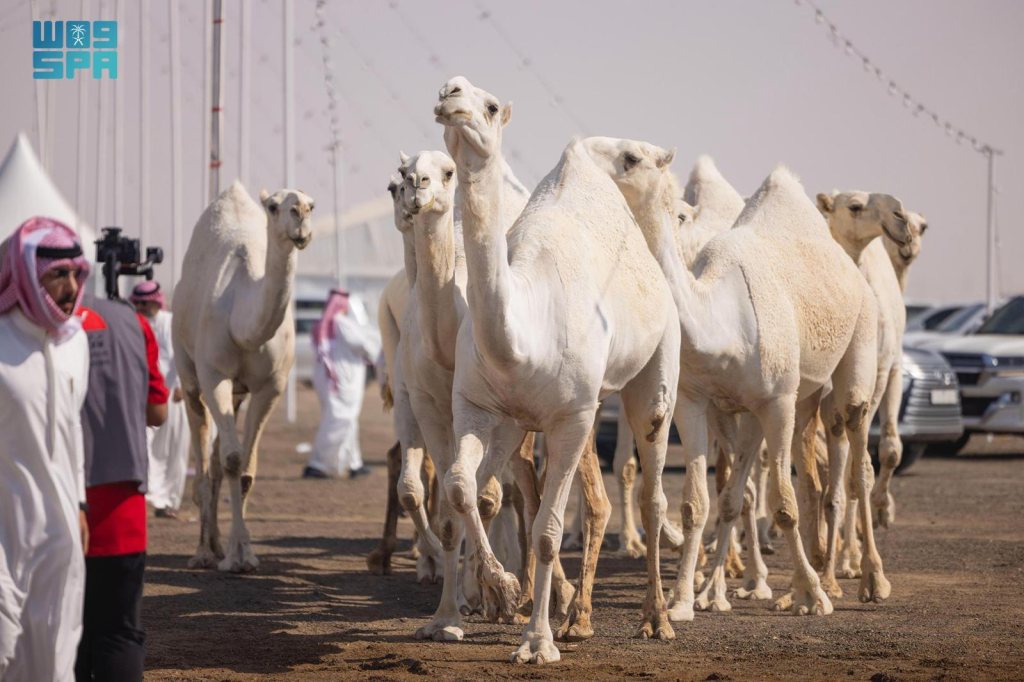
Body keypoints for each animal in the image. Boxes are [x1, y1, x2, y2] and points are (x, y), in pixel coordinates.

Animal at [173, 181, 314, 572]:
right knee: (204, 455)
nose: (300, 216)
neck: (242, 324)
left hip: (238, 393)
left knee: (218, 457)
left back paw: (216, 544)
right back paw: (203, 552)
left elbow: (247, 468)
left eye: (311, 204)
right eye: (274, 206)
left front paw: (242, 552)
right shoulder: (214, 375)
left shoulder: (271, 386)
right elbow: (233, 460)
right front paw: (234, 557)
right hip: (188, 372)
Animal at [436, 79, 680, 665]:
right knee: (484, 486)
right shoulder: (476, 406)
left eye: (490, 105)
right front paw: (502, 591)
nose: (451, 96)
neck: (523, 332)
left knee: (653, 489)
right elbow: (459, 489)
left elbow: (548, 530)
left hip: (656, 370)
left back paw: (656, 620)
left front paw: (537, 642)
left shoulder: (572, 418)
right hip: (517, 422)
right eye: (447, 88)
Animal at [581, 137, 891, 621]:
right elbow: (701, 502)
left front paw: (814, 597)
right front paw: (688, 599)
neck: (722, 321)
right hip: (791, 401)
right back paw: (774, 585)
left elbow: (782, 504)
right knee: (788, 479)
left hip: (856, 354)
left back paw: (864, 581)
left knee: (857, 463)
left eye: (631, 158)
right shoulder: (697, 401)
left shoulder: (776, 401)